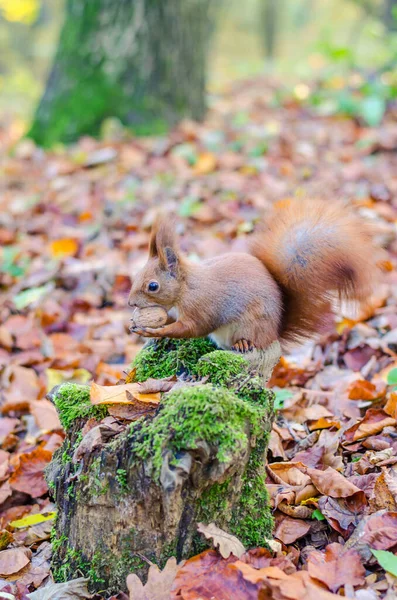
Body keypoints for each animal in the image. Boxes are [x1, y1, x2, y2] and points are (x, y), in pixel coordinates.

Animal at [127, 199, 378, 354]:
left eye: (153, 286)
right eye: (136, 274)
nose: (130, 303)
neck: (187, 288)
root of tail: (274, 333)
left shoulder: (202, 307)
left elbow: (191, 329)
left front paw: (153, 331)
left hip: (253, 325)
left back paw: (243, 344)